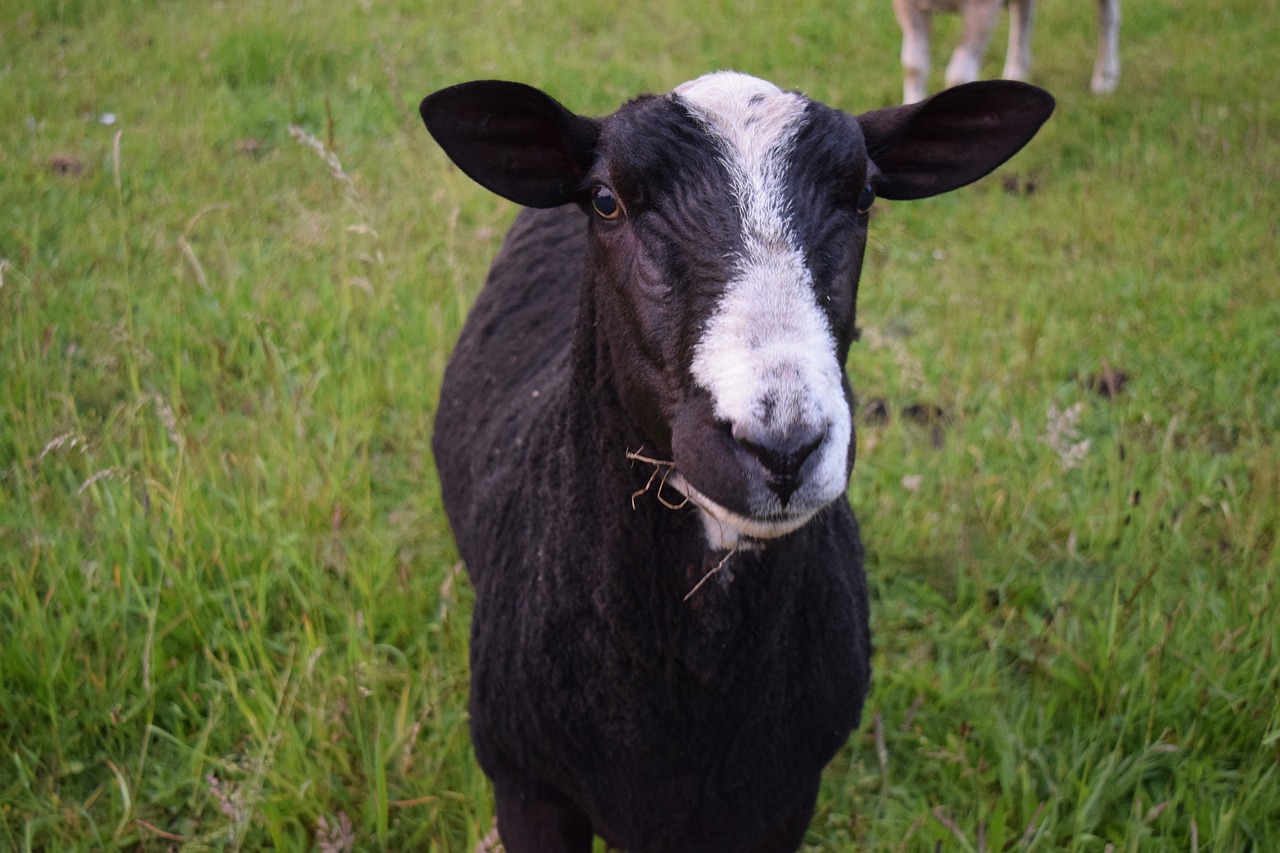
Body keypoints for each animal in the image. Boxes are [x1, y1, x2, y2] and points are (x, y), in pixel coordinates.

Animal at [890, 0, 1121, 103]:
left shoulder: (981, 10)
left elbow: (957, 76)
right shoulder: (907, 7)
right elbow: (914, 67)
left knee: (1108, 16)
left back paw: (1105, 78)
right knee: (1023, 13)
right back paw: (1016, 74)